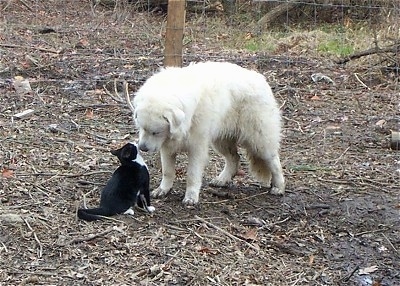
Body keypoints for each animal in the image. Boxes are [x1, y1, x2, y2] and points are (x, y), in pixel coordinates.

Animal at [133, 61, 286, 204]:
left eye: (155, 132)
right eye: (142, 128)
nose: (142, 148)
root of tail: (261, 79)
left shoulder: (196, 148)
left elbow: (192, 175)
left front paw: (191, 197)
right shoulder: (167, 147)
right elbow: (167, 171)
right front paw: (163, 190)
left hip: (259, 140)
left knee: (274, 161)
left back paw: (278, 187)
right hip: (221, 141)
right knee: (234, 158)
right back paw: (222, 179)